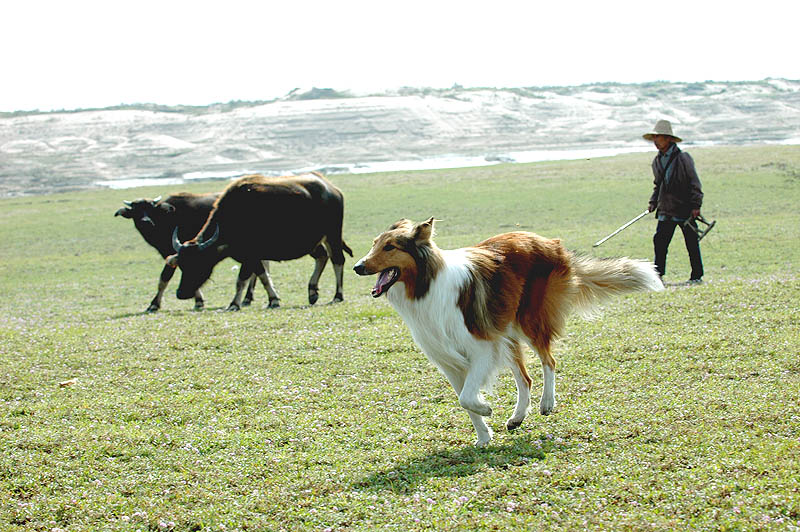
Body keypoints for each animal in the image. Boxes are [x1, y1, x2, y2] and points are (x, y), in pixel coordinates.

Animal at [112, 193, 276, 312]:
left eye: (151, 208)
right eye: (136, 210)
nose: (145, 221)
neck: (168, 217)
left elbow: (164, 278)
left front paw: (154, 305)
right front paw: (198, 301)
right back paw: (248, 298)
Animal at [170, 172, 354, 310]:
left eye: (197, 264)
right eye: (181, 265)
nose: (181, 293)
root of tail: (332, 189)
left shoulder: (249, 256)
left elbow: (241, 280)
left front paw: (234, 303)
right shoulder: (254, 257)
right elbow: (263, 276)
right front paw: (273, 299)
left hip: (333, 235)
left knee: (338, 260)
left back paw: (337, 296)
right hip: (313, 243)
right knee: (322, 256)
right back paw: (312, 292)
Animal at [354, 218, 664, 446]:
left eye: (390, 247)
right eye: (374, 244)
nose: (357, 267)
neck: (425, 284)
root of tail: (552, 243)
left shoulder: (481, 348)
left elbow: (467, 397)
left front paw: (486, 408)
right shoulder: (449, 361)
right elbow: (463, 400)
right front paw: (483, 437)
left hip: (528, 321)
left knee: (549, 361)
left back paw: (547, 403)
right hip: (506, 330)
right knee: (525, 378)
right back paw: (517, 417)